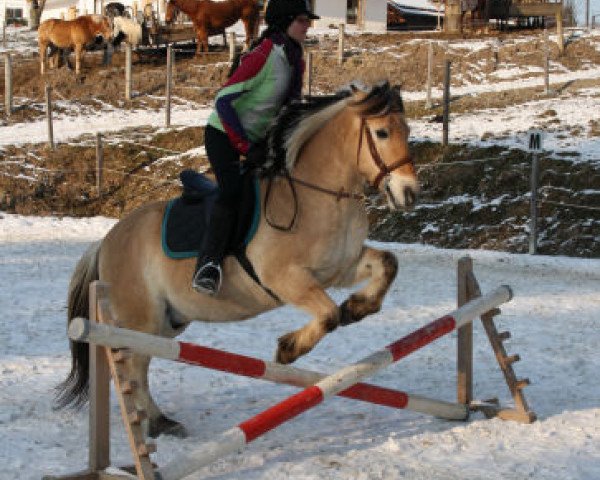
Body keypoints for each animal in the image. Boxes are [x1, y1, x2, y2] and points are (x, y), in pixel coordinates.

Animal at [58, 81, 420, 438]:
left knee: (140, 363)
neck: (320, 195)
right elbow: (329, 314)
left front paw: (357, 308)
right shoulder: (286, 278)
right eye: (382, 133)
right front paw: (289, 348)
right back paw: (152, 422)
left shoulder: (340, 269)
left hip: (166, 321)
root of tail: (106, 242)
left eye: (407, 129)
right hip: (141, 319)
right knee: (132, 364)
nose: (410, 193)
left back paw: (161, 421)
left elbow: (388, 264)